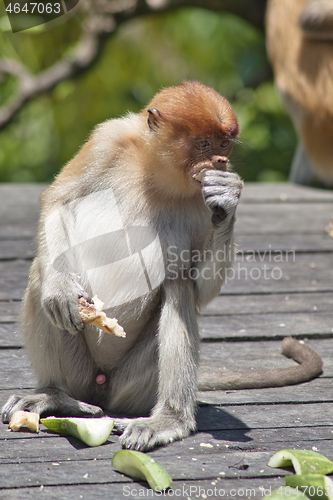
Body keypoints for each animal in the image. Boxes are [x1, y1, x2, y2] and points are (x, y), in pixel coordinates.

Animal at [0, 81, 322, 450]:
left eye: (224, 143)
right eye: (203, 143)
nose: (220, 161)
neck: (157, 171)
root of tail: (101, 385)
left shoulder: (202, 204)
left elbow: (198, 286)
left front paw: (227, 198)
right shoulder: (106, 140)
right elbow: (60, 199)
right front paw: (60, 290)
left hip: (135, 384)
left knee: (178, 289)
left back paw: (168, 419)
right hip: (81, 373)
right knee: (42, 273)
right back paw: (55, 394)